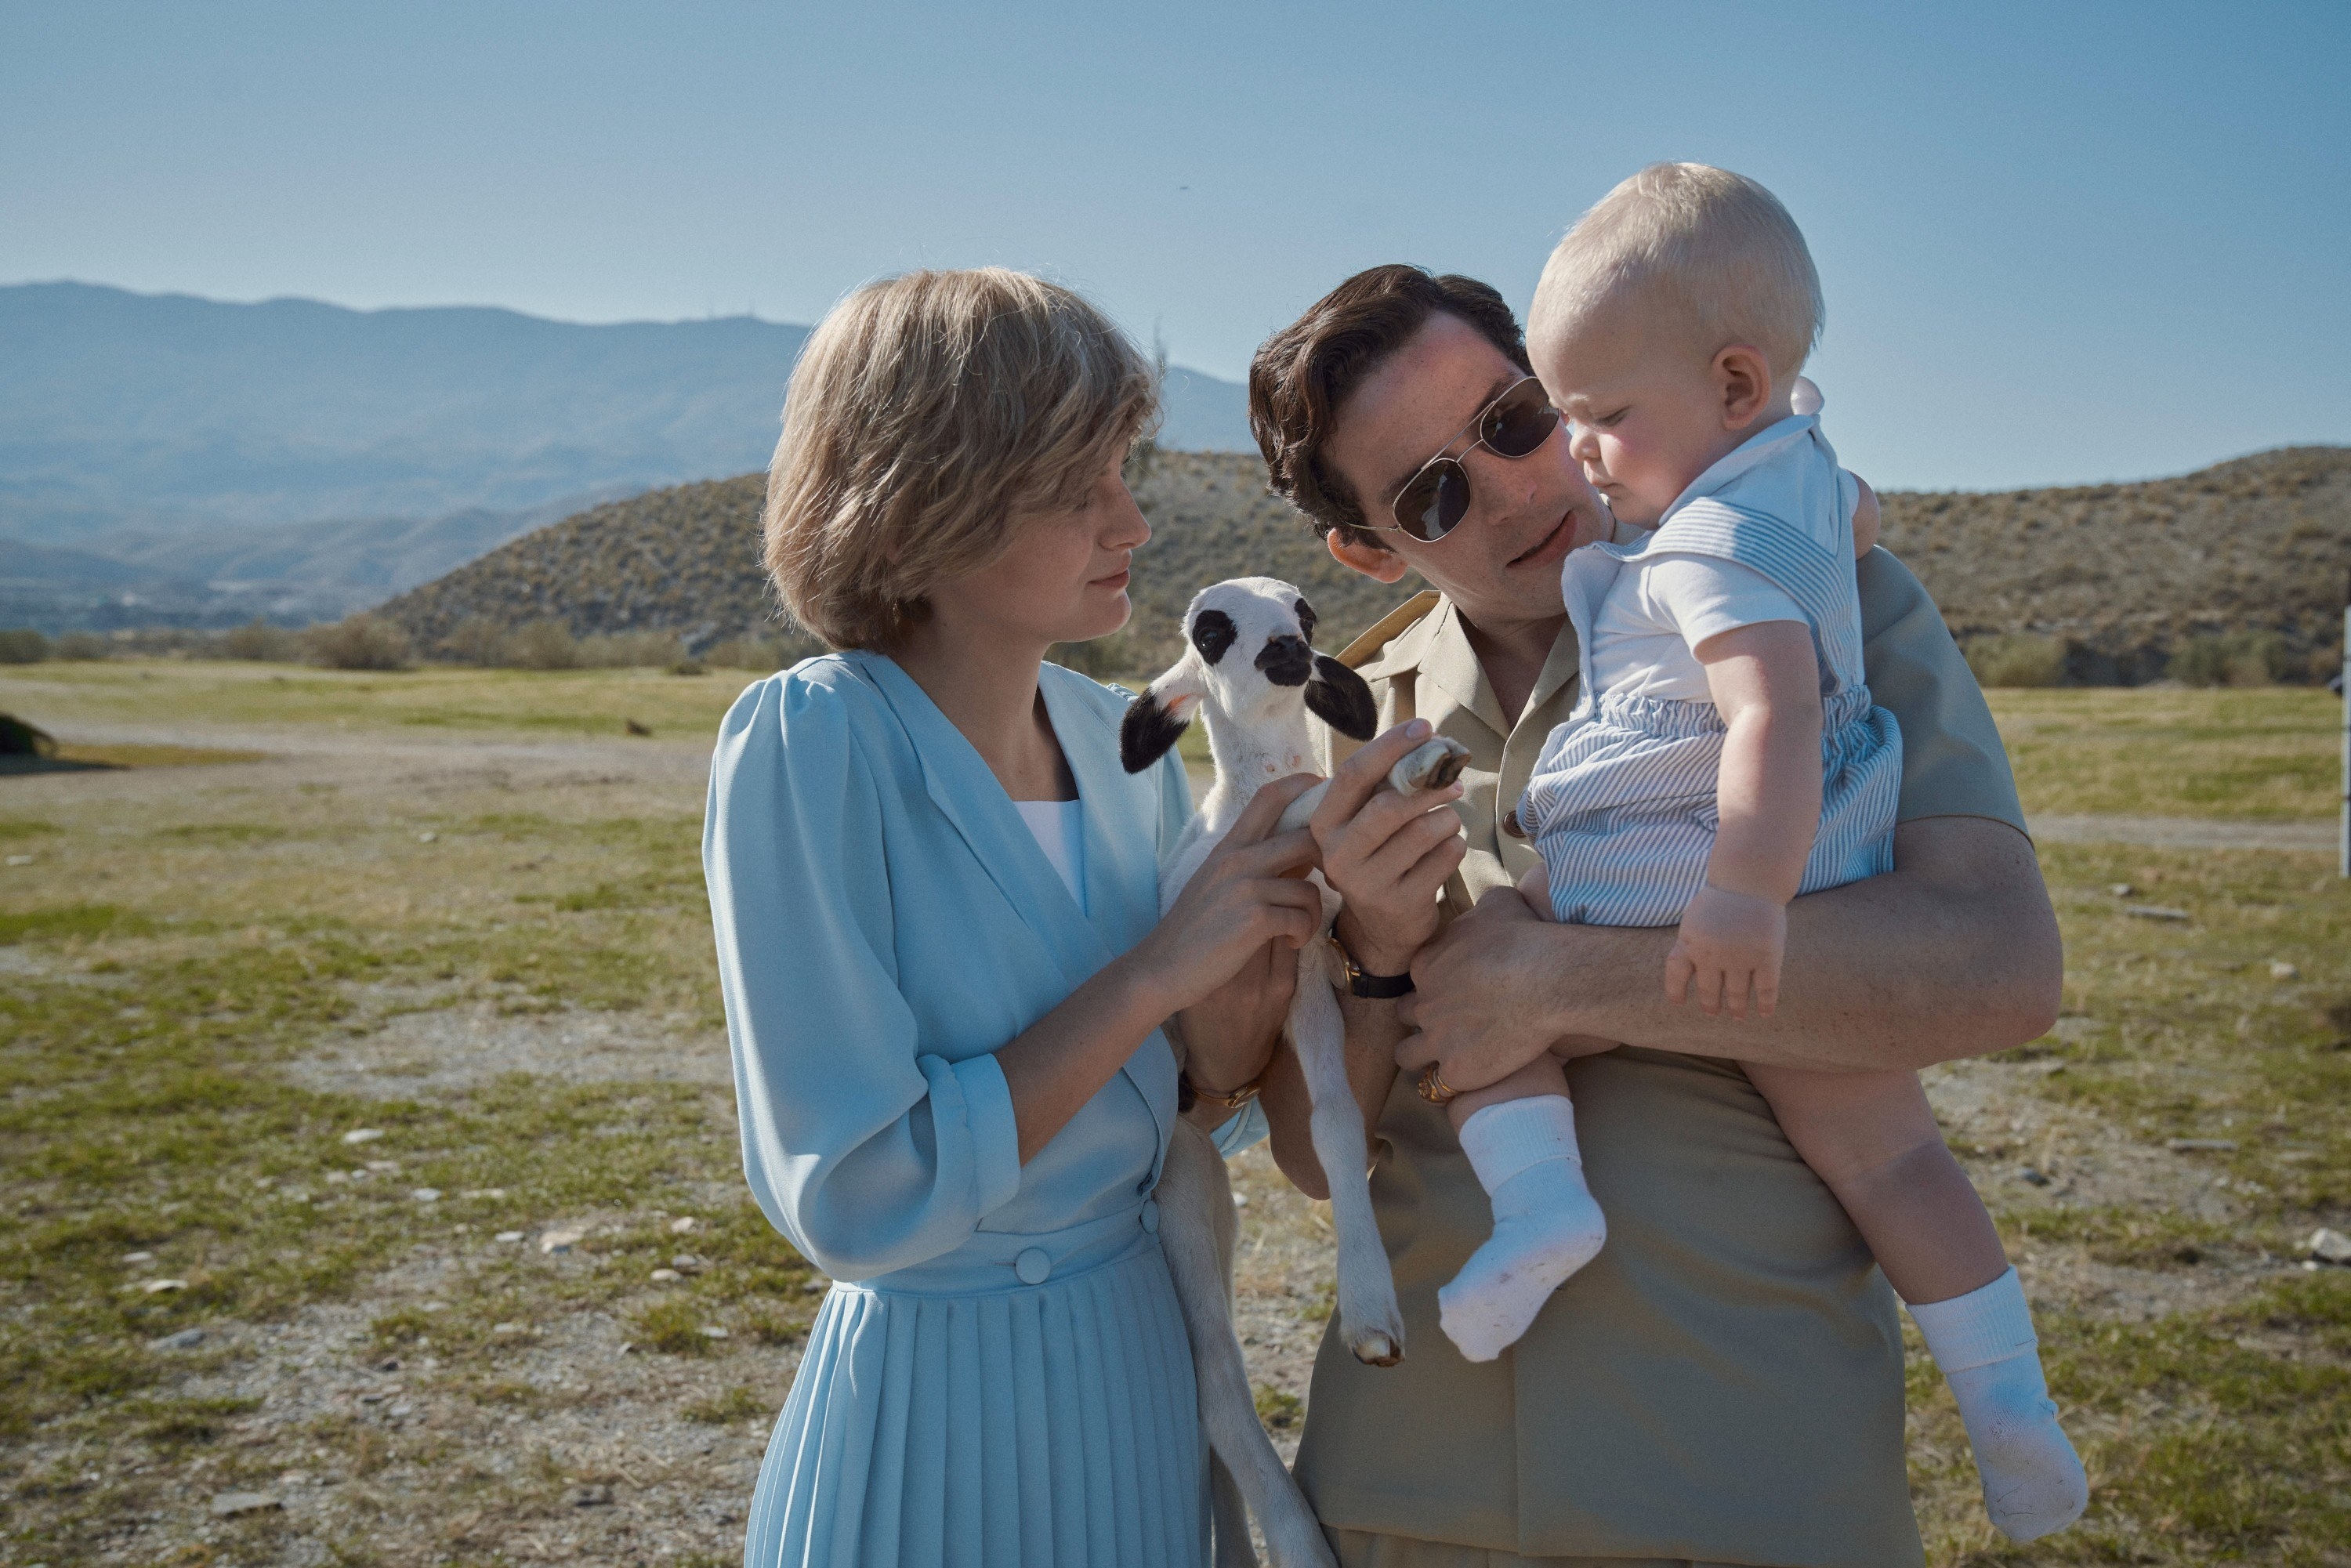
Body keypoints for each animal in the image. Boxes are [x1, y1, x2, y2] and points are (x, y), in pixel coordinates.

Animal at [1119, 576, 1467, 1568]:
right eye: (1209, 630)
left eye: (1304, 613)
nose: (1284, 652)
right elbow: (1308, 808)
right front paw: (1400, 773)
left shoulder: (1309, 978)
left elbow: (1338, 1122)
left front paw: (1371, 1309)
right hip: (1180, 1203)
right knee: (1216, 1390)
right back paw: (1299, 1541)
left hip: (1213, 1213)